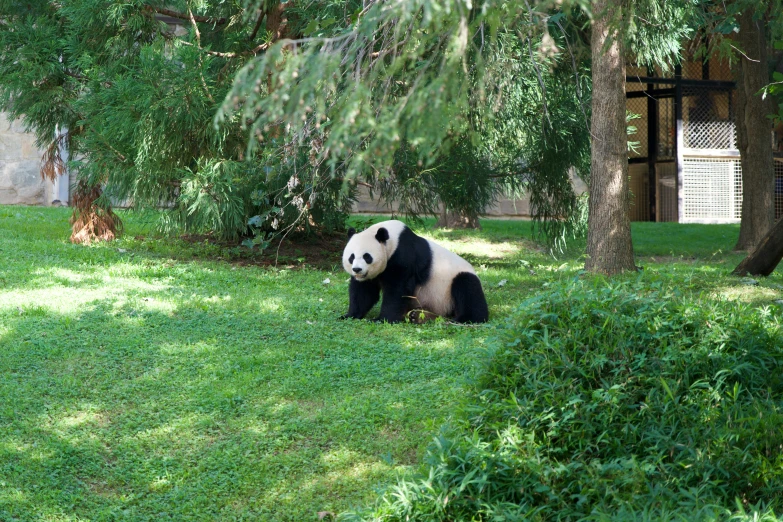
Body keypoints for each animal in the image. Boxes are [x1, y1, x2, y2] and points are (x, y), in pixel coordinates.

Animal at [340, 218, 486, 320]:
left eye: (367, 257)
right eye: (351, 257)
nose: (357, 269)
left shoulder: (403, 256)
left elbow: (397, 289)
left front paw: (383, 319)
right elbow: (364, 291)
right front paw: (349, 315)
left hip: (452, 283)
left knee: (467, 289)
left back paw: (465, 318)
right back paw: (417, 316)